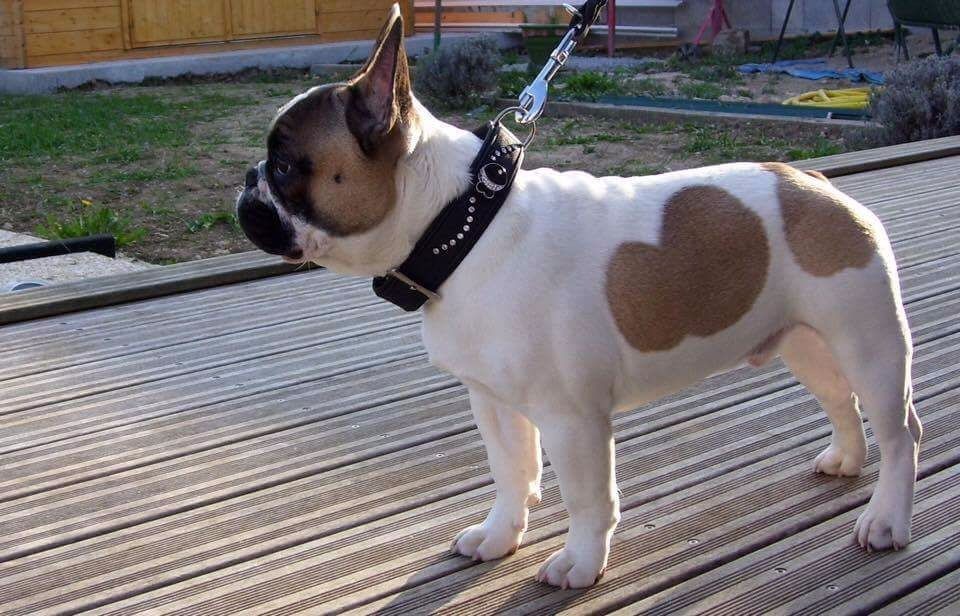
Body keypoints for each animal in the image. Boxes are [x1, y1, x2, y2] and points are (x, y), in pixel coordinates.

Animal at [237, 5, 922, 588]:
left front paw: (580, 563)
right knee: (840, 399)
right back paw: (845, 459)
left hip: (870, 344)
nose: (247, 179)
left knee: (900, 432)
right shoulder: (493, 402)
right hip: (805, 342)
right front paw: (499, 536)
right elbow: (512, 472)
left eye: (284, 166)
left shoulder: (572, 419)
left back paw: (885, 520)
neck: (460, 226)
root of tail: (817, 185)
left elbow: (589, 498)